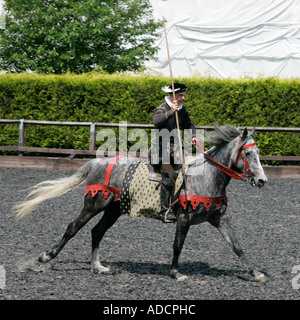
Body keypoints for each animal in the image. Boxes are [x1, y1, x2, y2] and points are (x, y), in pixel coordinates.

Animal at [13, 124, 268, 282]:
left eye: (258, 152)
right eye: (248, 154)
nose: (262, 180)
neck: (205, 176)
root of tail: (97, 162)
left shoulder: (219, 218)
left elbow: (237, 246)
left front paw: (255, 273)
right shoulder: (183, 218)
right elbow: (177, 246)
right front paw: (176, 273)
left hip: (113, 210)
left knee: (97, 231)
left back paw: (98, 267)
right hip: (94, 204)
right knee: (73, 227)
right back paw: (47, 256)